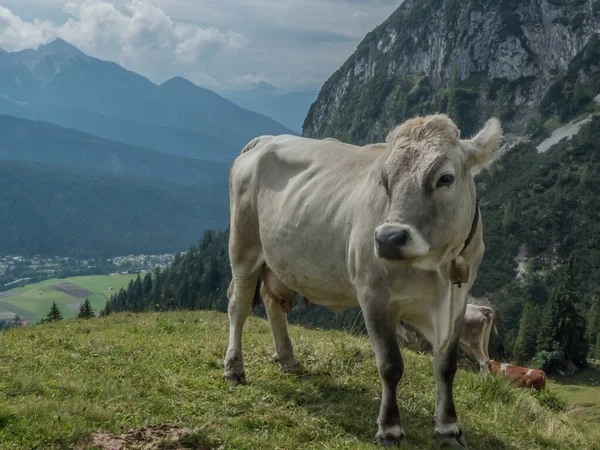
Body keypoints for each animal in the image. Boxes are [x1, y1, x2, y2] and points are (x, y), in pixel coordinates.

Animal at [224, 113, 502, 446]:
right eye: (385, 181)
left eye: (445, 178)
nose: (387, 239)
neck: (437, 274)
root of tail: (265, 140)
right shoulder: (374, 296)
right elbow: (391, 365)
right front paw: (390, 428)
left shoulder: (458, 302)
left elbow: (447, 367)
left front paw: (448, 427)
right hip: (243, 247)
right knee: (238, 306)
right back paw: (234, 369)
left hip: (280, 260)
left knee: (272, 301)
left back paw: (288, 359)